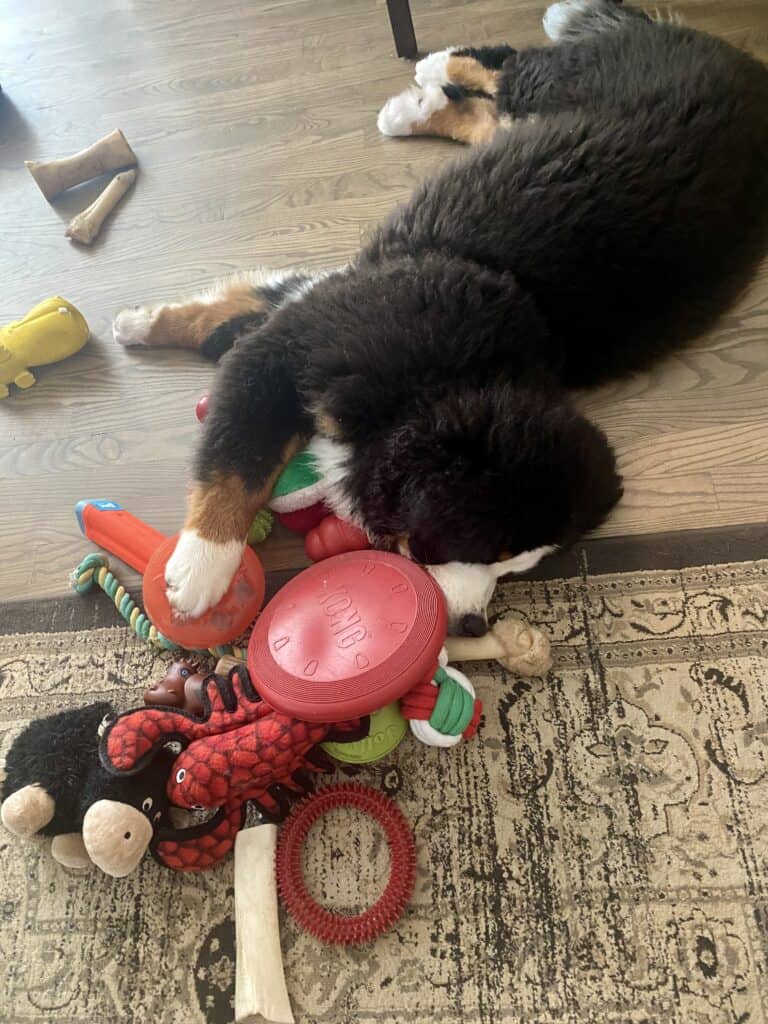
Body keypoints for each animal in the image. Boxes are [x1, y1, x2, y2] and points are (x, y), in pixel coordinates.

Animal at [114, 0, 768, 634]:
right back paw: (434, 71)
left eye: (516, 569)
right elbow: (237, 456)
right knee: (509, 67)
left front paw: (144, 322)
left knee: (493, 109)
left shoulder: (321, 315)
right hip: (561, 82)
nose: (473, 626)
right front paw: (201, 571)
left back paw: (416, 103)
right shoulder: (298, 345)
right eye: (476, 550)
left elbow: (242, 321)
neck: (440, 381)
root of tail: (746, 66)